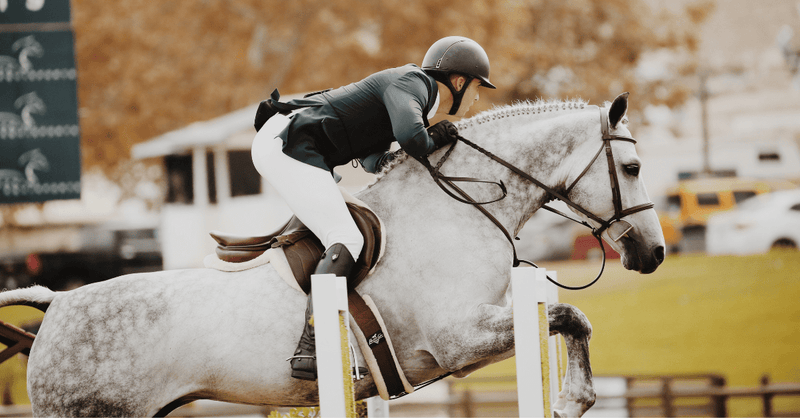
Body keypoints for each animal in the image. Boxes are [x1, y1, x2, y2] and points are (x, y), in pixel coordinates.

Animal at [0, 92, 665, 418]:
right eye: (633, 167)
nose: (654, 253)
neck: (456, 209)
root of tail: (55, 304)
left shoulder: (474, 338)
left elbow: (569, 319)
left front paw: (575, 398)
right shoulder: (457, 338)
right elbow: (570, 315)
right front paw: (574, 399)